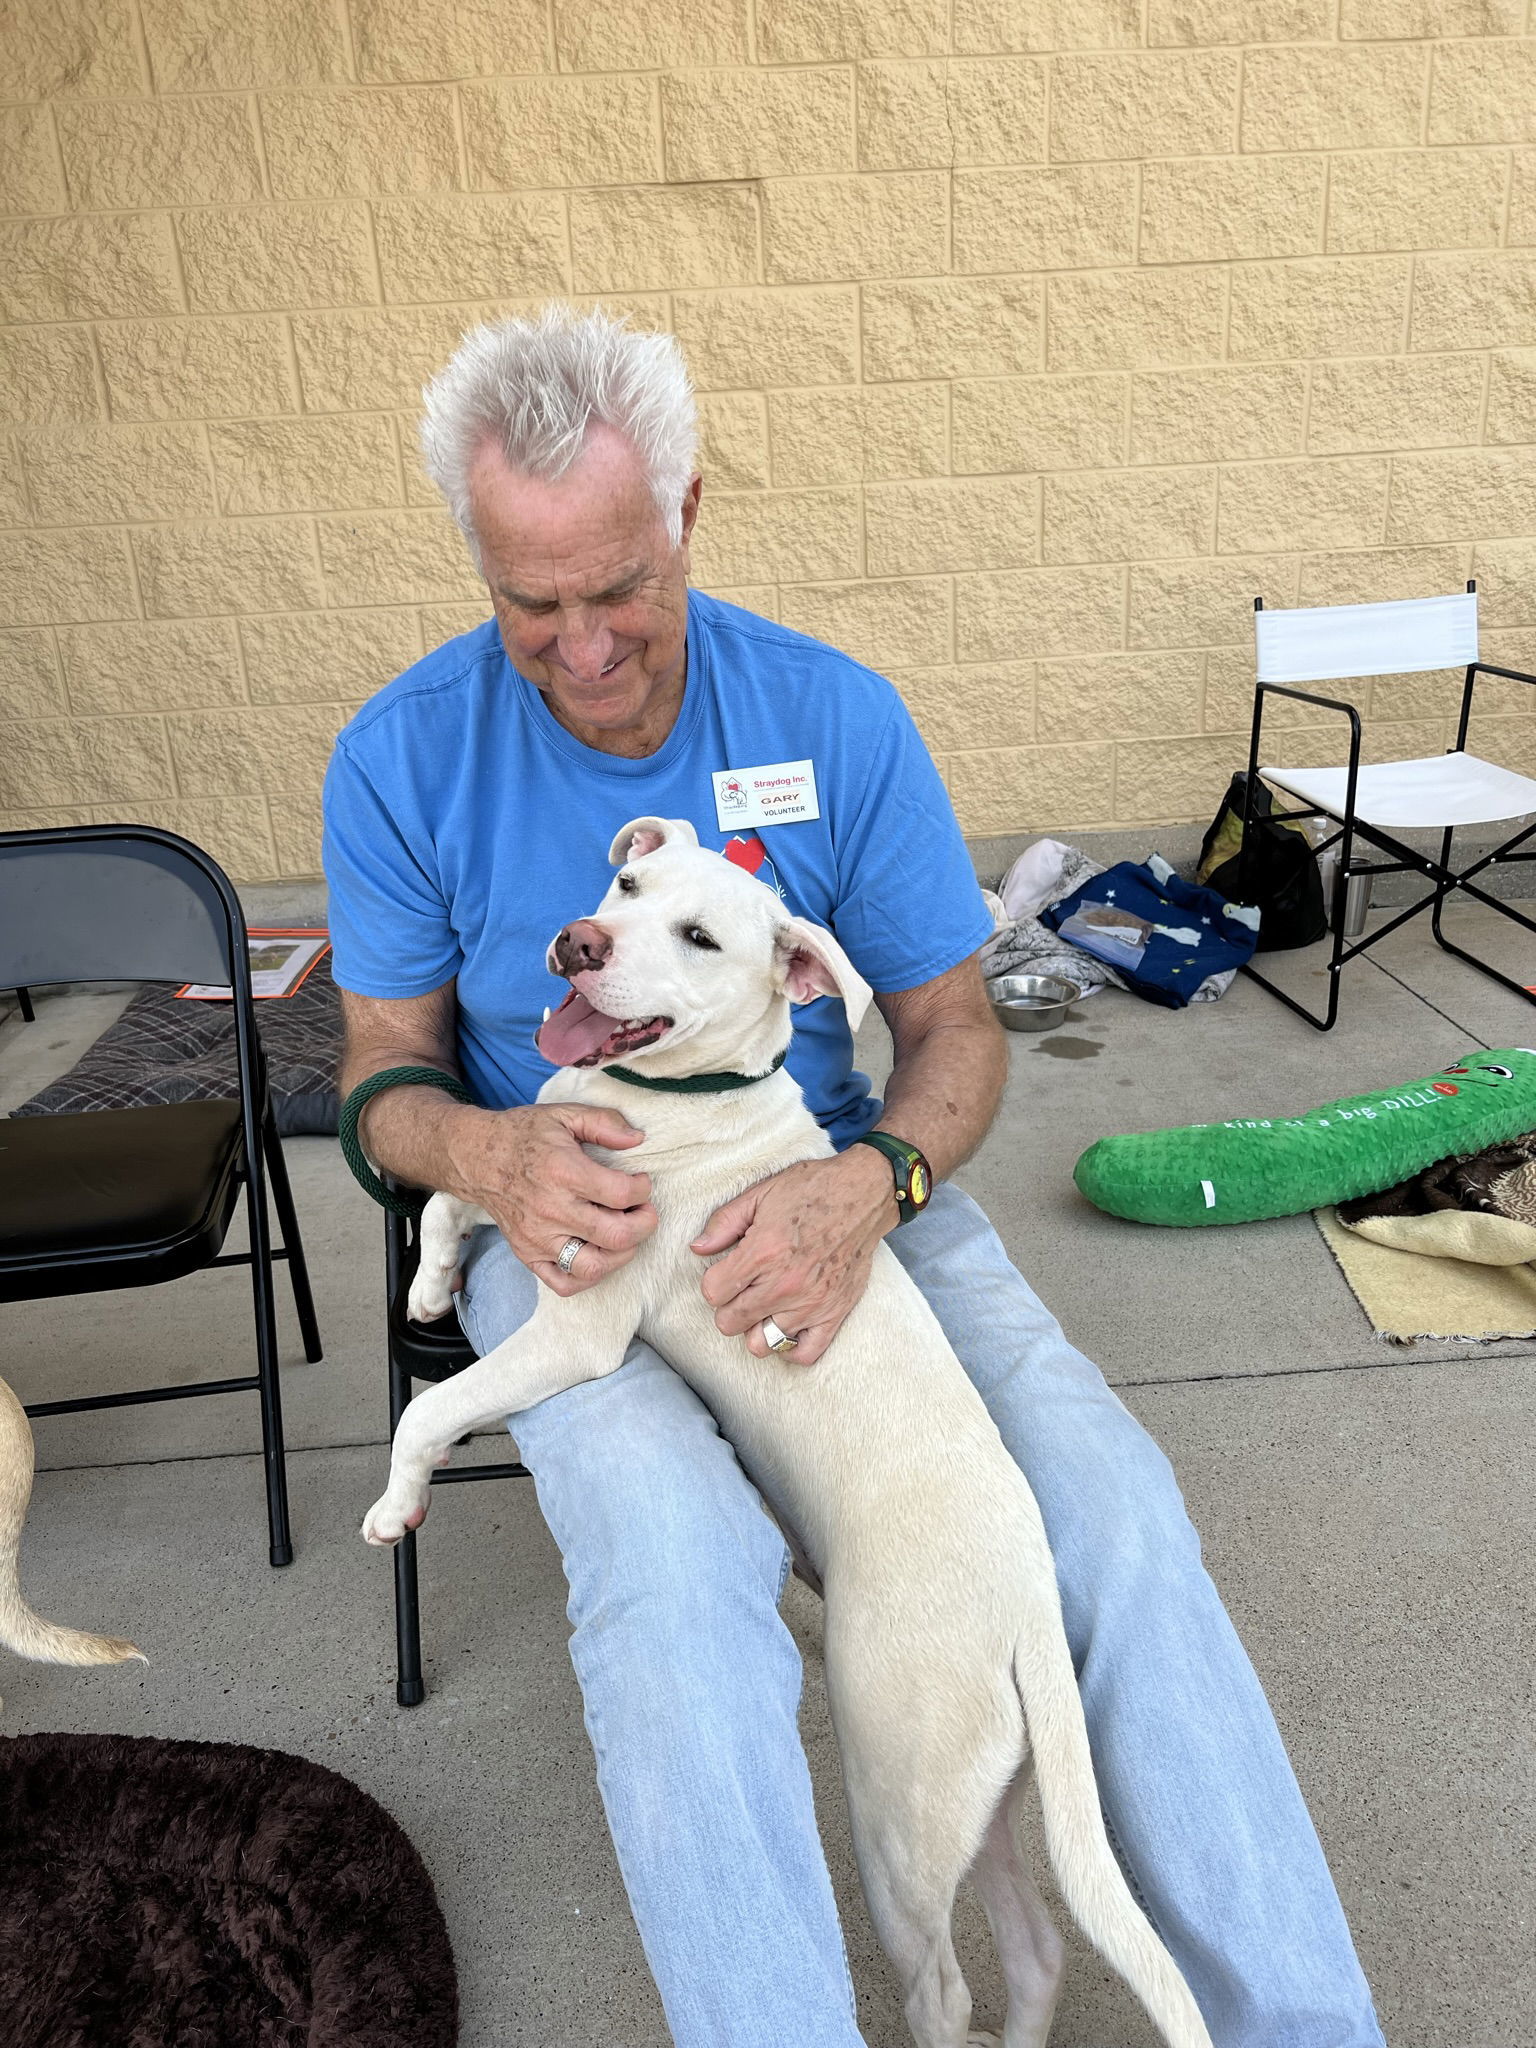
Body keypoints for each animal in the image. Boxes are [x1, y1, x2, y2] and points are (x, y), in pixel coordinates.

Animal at [360, 815, 1212, 2048]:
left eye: (702, 937)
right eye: (626, 885)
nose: (577, 942)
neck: (682, 1094)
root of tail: (1029, 1615)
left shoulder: (579, 1330)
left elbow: (431, 1403)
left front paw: (398, 1500)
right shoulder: (545, 1173)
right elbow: (447, 1199)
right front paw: (428, 1289)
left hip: (896, 1805)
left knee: (946, 1986)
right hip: (982, 1796)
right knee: (1039, 1946)